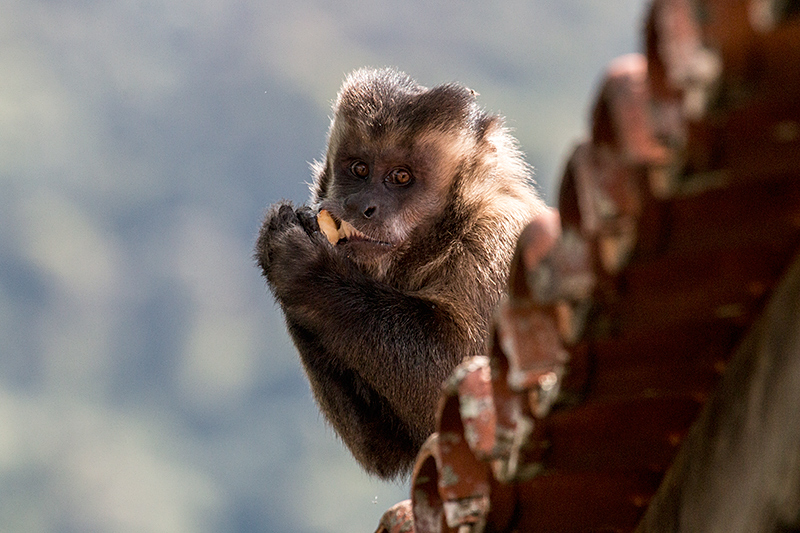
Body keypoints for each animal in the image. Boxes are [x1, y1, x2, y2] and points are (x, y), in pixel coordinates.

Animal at [256, 67, 544, 478]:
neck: (446, 236)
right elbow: (387, 450)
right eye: (359, 169)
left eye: (401, 177)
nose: (360, 204)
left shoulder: (499, 243)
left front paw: (306, 267)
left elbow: (457, 382)